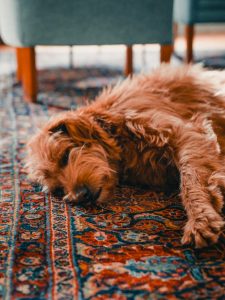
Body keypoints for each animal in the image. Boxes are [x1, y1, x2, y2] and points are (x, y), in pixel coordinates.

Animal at [26, 65, 225, 248]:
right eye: (58, 189)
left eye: (65, 156)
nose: (81, 196)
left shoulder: (187, 134)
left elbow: (190, 182)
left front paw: (200, 219)